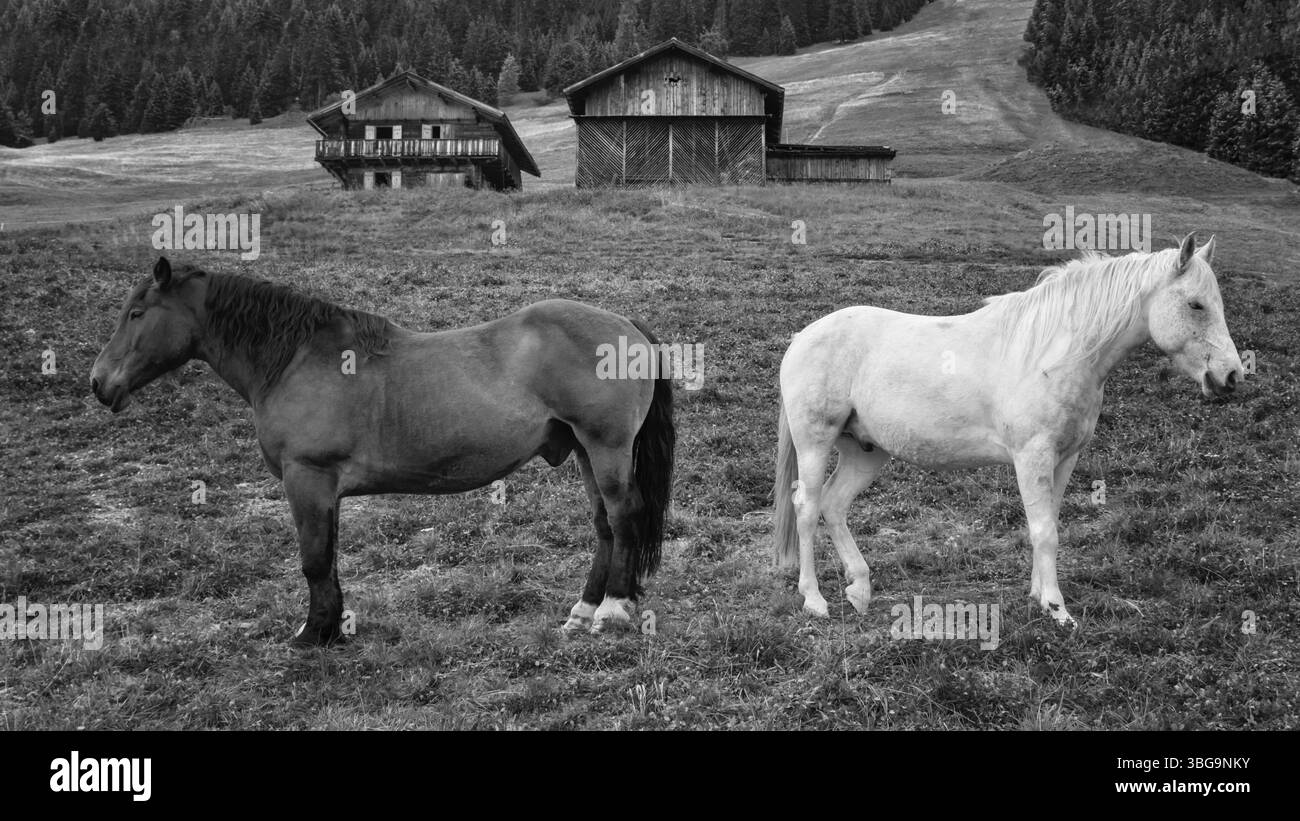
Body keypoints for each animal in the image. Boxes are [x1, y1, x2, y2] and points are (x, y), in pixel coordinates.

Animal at [91, 257, 675, 645]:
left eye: (137, 313)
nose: (99, 383)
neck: (297, 359)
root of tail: (627, 324)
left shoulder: (307, 479)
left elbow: (313, 560)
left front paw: (314, 633)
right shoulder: (324, 490)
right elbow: (327, 557)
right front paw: (330, 626)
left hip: (606, 448)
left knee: (623, 517)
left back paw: (613, 610)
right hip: (582, 450)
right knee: (603, 525)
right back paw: (584, 609)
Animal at [773, 233, 1243, 627]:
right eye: (1196, 305)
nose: (1232, 376)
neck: (1053, 355)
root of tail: (802, 337)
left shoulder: (1065, 458)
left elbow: (1048, 523)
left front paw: (1039, 595)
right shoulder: (1032, 456)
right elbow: (1044, 530)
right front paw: (1057, 609)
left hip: (865, 450)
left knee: (834, 505)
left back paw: (860, 588)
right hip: (815, 443)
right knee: (807, 507)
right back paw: (814, 599)